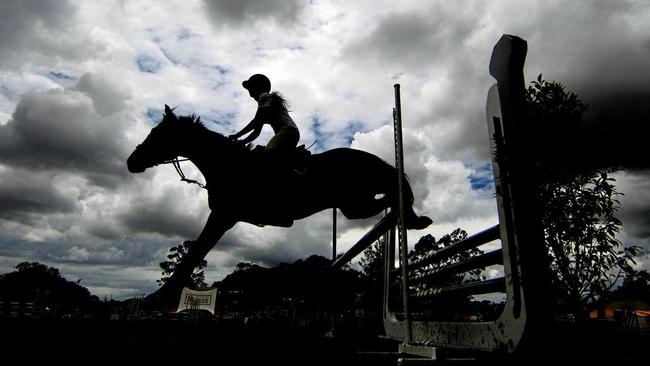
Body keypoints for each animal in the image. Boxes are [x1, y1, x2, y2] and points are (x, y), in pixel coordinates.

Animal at [126, 104, 430, 302]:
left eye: (157, 134)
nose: (131, 161)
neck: (227, 165)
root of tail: (365, 156)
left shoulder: (223, 216)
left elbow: (193, 254)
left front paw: (158, 298)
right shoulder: (223, 217)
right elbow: (195, 253)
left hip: (358, 199)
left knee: (396, 191)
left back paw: (410, 216)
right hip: (353, 205)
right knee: (389, 197)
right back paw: (412, 218)